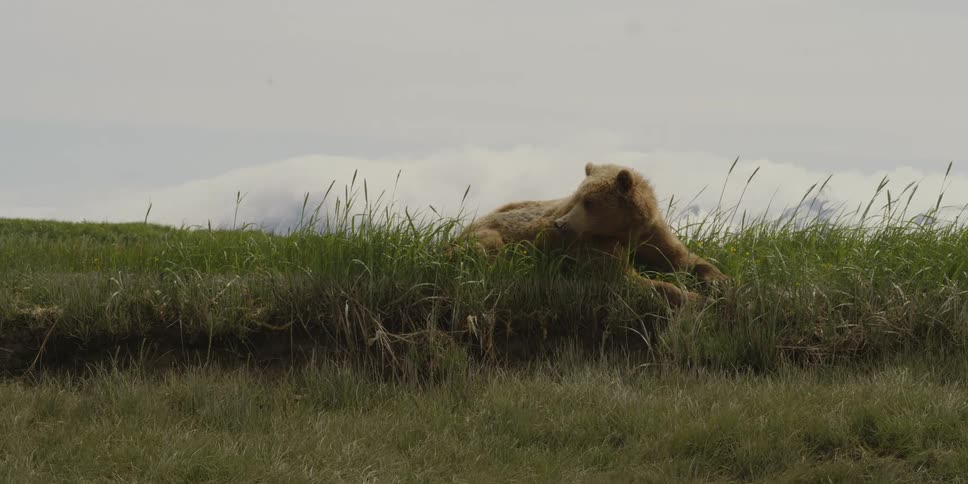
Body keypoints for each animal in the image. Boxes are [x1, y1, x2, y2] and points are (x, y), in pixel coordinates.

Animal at [460, 162, 727, 306]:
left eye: (589, 202)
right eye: (578, 197)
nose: (560, 224)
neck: (623, 230)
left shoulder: (651, 234)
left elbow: (683, 259)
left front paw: (720, 283)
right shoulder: (593, 246)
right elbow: (626, 278)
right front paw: (699, 299)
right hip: (488, 236)